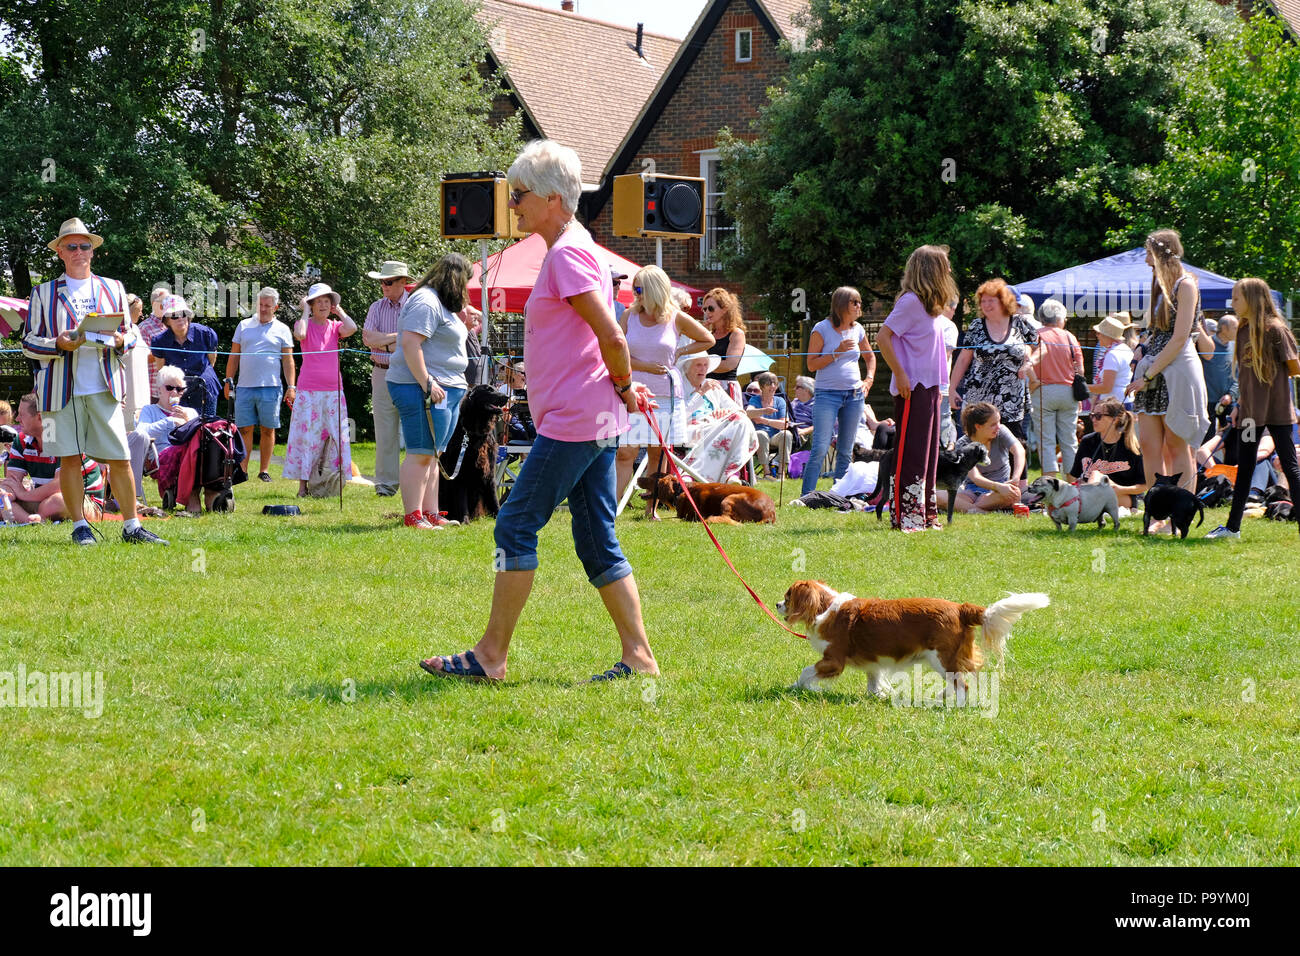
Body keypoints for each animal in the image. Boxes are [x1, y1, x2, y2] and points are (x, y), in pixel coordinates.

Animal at [441, 387, 512, 522]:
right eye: (489, 390)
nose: (507, 397)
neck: (476, 433)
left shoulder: (490, 472)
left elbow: (494, 499)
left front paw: (498, 515)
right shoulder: (461, 474)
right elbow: (462, 501)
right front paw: (465, 521)